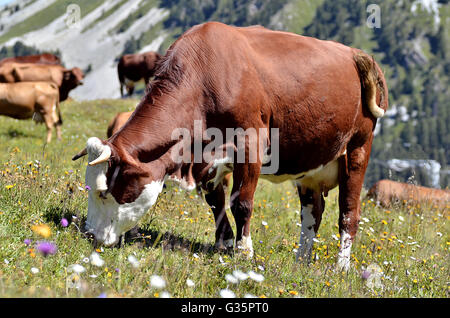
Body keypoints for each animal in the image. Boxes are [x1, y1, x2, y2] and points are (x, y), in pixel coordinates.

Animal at [73, 22, 386, 270]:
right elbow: (216, 202)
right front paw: (223, 243)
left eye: (103, 192)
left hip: (358, 148)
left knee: (348, 212)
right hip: (311, 162)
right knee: (313, 211)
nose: (89, 234)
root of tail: (357, 54)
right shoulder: (205, 159)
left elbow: (241, 203)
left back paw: (341, 265)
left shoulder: (251, 145)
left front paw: (243, 250)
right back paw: (302, 259)